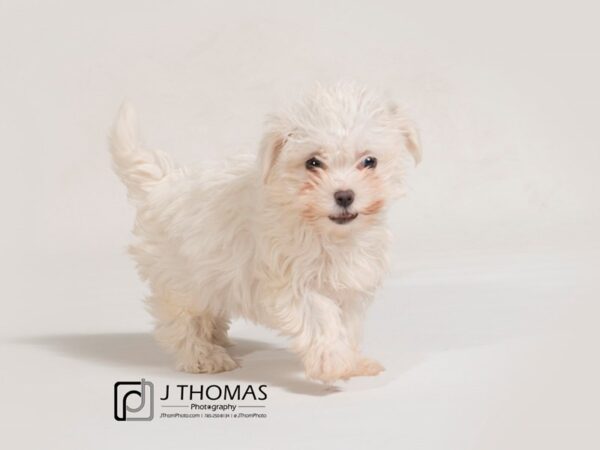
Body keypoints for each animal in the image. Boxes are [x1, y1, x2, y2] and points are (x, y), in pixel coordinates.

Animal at [110, 82, 420, 382]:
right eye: (313, 162)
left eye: (369, 161)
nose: (344, 195)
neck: (326, 232)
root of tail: (161, 184)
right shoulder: (293, 282)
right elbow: (321, 318)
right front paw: (333, 362)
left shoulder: (350, 284)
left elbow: (347, 324)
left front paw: (354, 361)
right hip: (182, 277)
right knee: (180, 319)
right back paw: (204, 355)